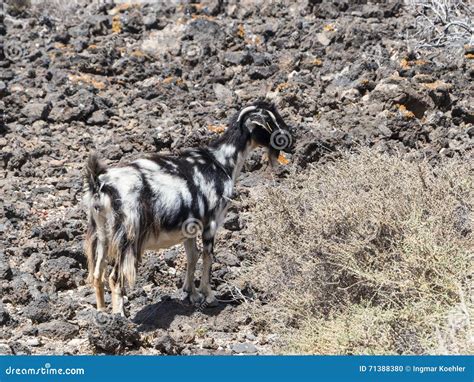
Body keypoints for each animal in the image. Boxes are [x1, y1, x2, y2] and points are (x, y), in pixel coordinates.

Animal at [84, 100, 292, 314]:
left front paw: (191, 293)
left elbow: (193, 256)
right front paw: (209, 295)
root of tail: (100, 182)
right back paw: (119, 315)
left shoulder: (190, 227)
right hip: (126, 237)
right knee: (114, 277)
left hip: (101, 234)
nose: (289, 141)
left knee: (97, 275)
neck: (221, 161)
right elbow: (208, 256)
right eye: (271, 121)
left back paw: (101, 312)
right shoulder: (211, 222)